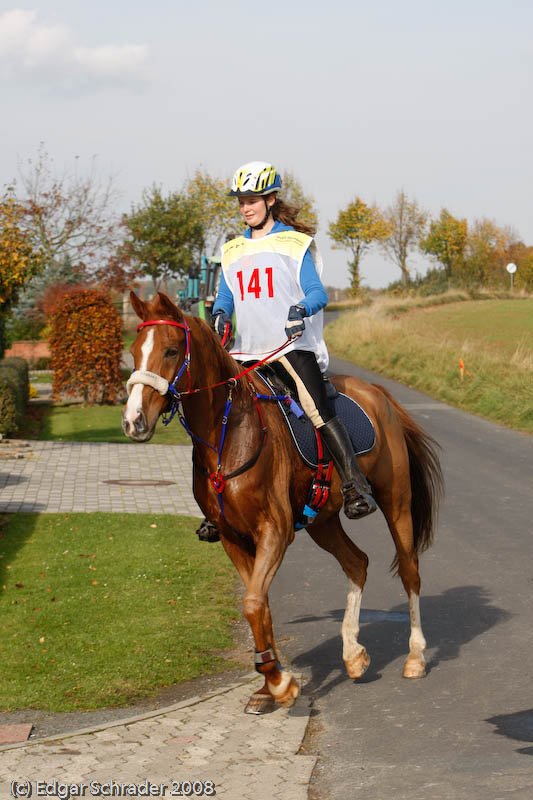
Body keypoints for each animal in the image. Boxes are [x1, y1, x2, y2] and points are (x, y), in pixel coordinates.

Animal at [122, 292, 442, 712]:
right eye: (132, 352)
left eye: (171, 350)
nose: (133, 421)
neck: (228, 434)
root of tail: (377, 393)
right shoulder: (233, 538)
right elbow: (259, 604)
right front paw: (268, 683)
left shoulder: (274, 531)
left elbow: (253, 603)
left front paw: (279, 682)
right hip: (323, 521)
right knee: (357, 563)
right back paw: (353, 654)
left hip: (396, 503)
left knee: (410, 571)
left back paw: (415, 657)